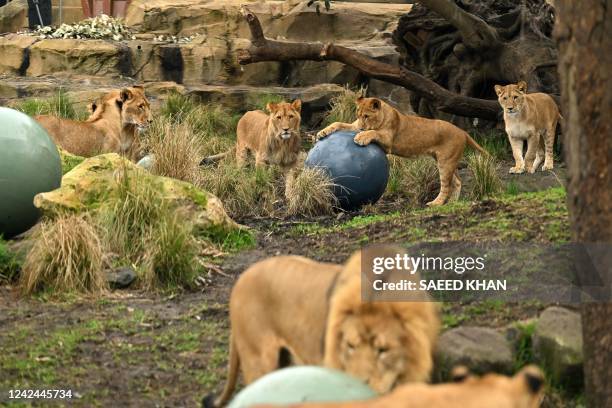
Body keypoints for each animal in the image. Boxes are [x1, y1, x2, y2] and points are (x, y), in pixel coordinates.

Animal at [318, 97, 486, 206]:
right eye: (358, 115)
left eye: (366, 116)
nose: (360, 128)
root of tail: (462, 131)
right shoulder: (354, 125)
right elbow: (338, 123)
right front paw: (322, 132)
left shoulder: (387, 141)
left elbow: (373, 132)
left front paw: (361, 137)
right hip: (447, 161)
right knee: (457, 181)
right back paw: (452, 203)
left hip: (445, 162)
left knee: (446, 186)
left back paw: (435, 203)